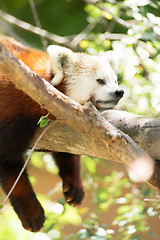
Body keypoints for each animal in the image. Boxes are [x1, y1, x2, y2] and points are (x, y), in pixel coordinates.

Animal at [0, 34, 124, 232]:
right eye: (100, 81)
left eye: (115, 81)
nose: (119, 92)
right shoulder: (10, 114)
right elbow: (9, 165)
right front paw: (31, 212)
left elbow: (68, 150)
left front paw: (74, 185)